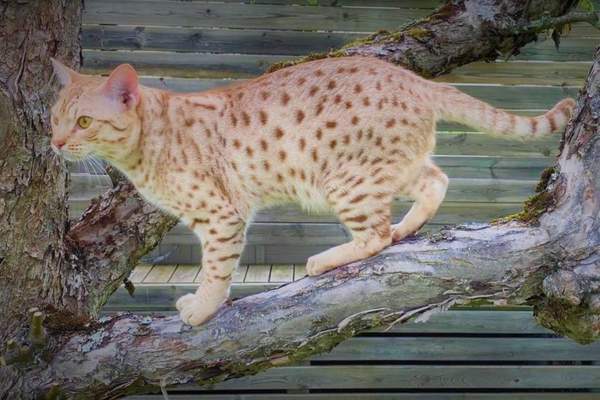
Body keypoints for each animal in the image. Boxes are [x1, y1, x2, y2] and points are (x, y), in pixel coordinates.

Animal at [49, 56, 576, 324]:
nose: (54, 143)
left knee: (375, 234)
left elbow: (216, 270)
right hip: (388, 166)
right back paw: (408, 228)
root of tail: (412, 78)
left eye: (84, 121)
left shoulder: (221, 216)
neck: (149, 143)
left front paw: (200, 309)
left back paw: (327, 259)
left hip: (345, 180)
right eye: (54, 118)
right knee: (434, 180)